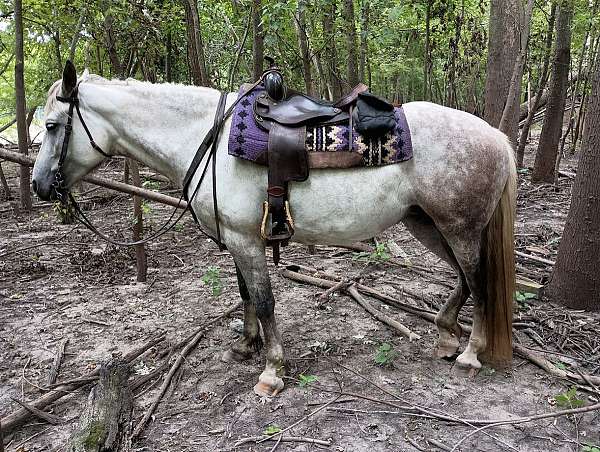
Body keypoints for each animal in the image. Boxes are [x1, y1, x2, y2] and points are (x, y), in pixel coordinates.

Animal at [32, 62, 516, 396]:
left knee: (478, 279)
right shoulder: (237, 239)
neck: (208, 140)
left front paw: (271, 372)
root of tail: (496, 136)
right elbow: (245, 294)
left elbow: (264, 300)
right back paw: (445, 334)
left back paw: (470, 353)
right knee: (463, 277)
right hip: (428, 224)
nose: (39, 186)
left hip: (458, 226)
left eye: (53, 126)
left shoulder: (246, 241)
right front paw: (246, 346)